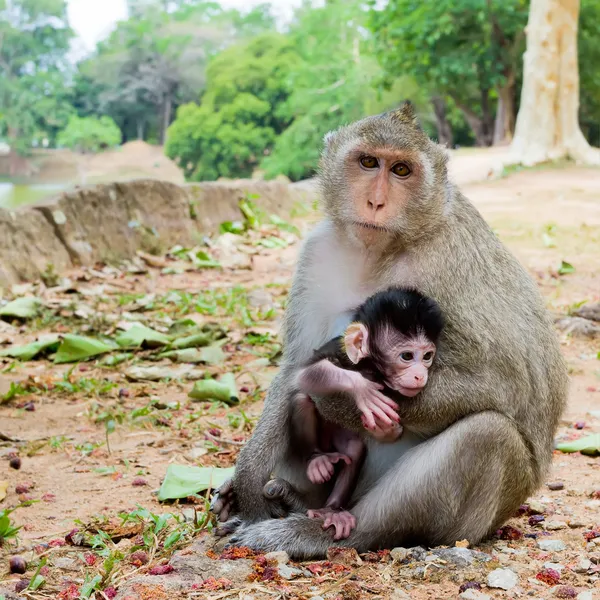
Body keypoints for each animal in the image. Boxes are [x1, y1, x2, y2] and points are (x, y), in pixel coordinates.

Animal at [292, 286, 442, 540]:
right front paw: (363, 388)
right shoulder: (337, 348)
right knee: (302, 399)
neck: (369, 367)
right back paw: (317, 459)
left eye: (427, 356)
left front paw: (387, 429)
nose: (420, 375)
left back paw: (332, 510)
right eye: (407, 356)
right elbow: (307, 373)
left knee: (354, 449)